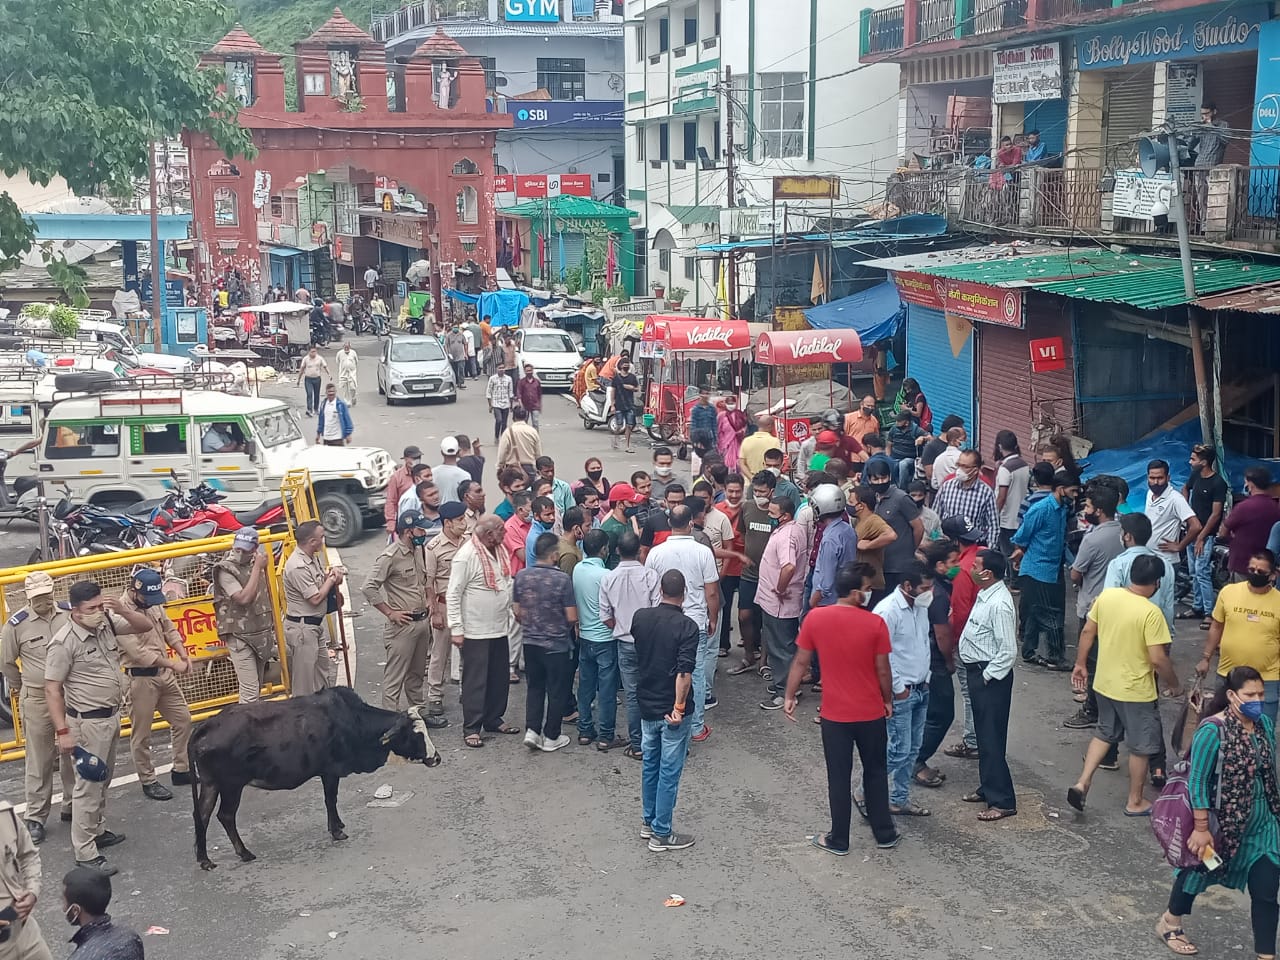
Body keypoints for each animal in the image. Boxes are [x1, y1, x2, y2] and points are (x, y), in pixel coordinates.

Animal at [189, 686, 442, 870]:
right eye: (415, 735)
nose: (436, 758)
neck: (353, 721)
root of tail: (207, 724)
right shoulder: (330, 771)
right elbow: (331, 799)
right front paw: (337, 830)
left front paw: (337, 825)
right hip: (231, 786)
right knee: (225, 816)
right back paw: (243, 852)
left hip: (211, 784)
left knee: (201, 814)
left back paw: (204, 858)